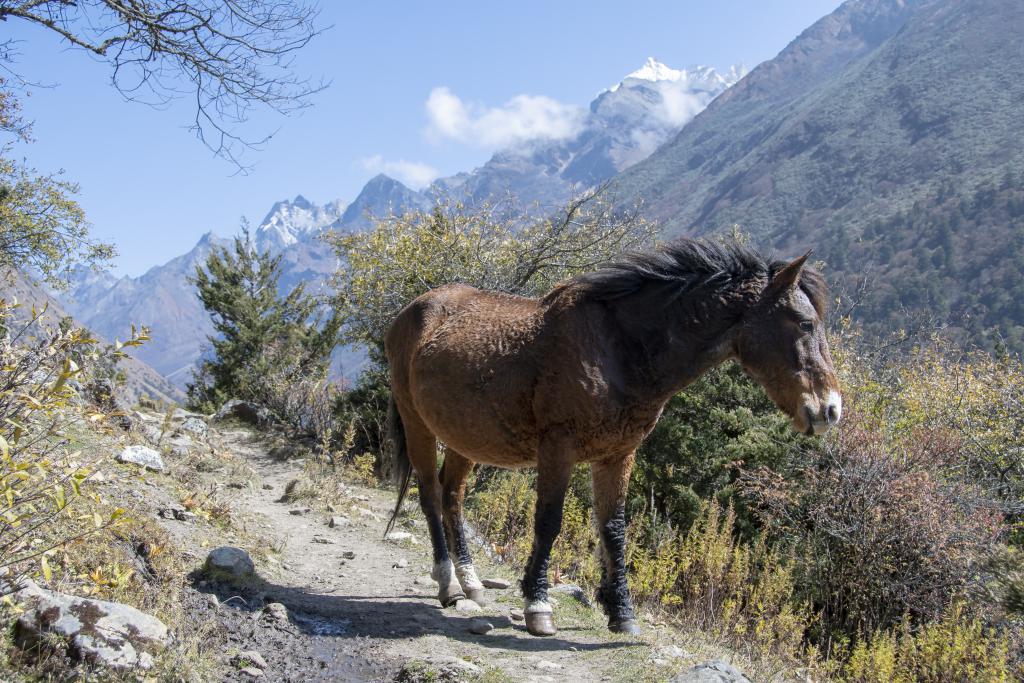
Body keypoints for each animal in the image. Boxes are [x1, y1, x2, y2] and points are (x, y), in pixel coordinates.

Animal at [385, 237, 839, 638]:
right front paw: (538, 606)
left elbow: (613, 528)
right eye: (805, 323)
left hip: (464, 439)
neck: (619, 350)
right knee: (430, 496)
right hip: (418, 425)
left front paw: (622, 613)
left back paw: (471, 582)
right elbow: (548, 521)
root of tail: (411, 311)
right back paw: (448, 584)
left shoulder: (617, 455)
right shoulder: (558, 450)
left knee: (452, 496)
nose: (830, 409)